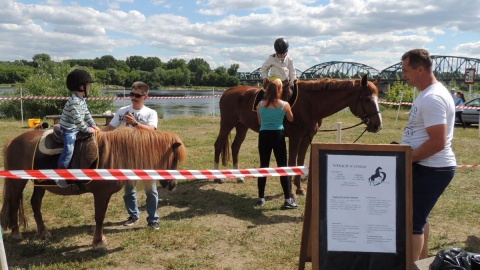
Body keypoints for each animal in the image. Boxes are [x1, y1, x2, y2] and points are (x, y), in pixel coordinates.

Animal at [0, 127, 187, 250]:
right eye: (174, 159)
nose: (173, 185)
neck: (113, 153)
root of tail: (13, 141)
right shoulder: (101, 194)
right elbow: (99, 217)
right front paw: (98, 242)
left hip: (41, 183)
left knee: (35, 203)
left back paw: (43, 232)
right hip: (18, 183)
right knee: (15, 203)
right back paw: (16, 233)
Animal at [214, 75, 382, 195]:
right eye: (367, 99)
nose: (377, 125)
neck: (309, 104)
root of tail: (228, 91)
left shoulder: (307, 137)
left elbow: (300, 160)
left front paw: (299, 187)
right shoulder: (295, 137)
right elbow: (292, 161)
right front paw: (290, 188)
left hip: (242, 126)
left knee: (235, 147)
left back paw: (239, 176)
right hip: (227, 124)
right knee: (218, 145)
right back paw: (217, 177)